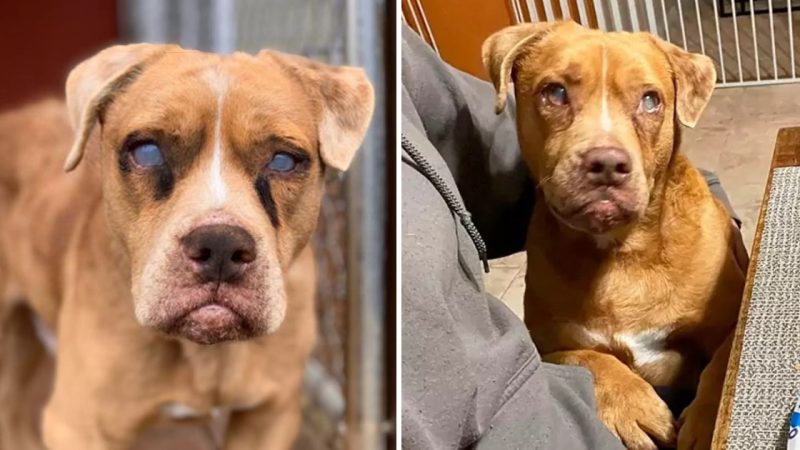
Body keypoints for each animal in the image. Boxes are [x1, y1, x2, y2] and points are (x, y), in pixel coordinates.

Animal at [482, 22, 752, 450]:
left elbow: (725, 362)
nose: (607, 163)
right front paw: (630, 404)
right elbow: (588, 358)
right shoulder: (548, 345)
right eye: (554, 92)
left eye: (650, 100)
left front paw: (706, 420)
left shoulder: (731, 316)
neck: (620, 251)